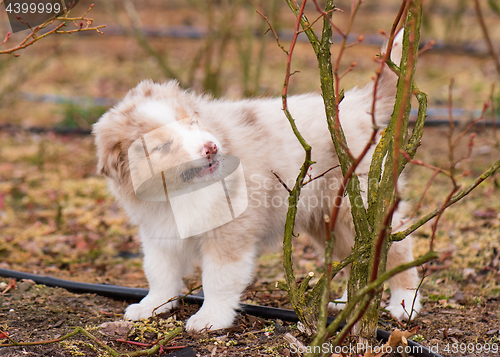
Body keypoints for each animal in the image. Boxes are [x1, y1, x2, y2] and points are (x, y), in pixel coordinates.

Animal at [92, 30, 420, 330]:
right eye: (162, 146)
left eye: (193, 122)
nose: (211, 147)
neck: (178, 193)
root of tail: (358, 104)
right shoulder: (159, 231)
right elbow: (159, 271)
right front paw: (152, 306)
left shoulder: (229, 233)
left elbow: (218, 279)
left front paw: (210, 319)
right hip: (328, 218)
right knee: (359, 256)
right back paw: (347, 302)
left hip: (356, 205)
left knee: (396, 250)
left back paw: (404, 304)